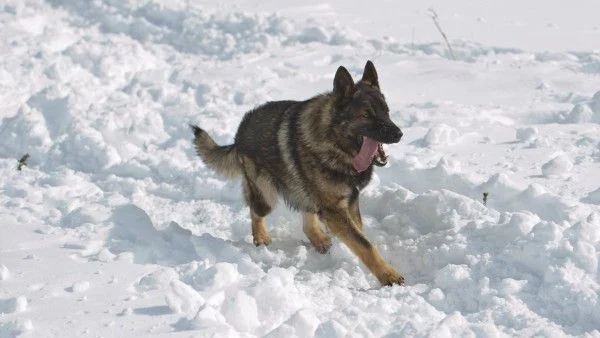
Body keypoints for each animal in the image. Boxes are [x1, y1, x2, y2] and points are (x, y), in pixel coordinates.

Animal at [191, 60, 404, 286]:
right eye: (365, 115)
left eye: (386, 111)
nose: (399, 134)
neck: (334, 142)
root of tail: (239, 133)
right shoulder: (334, 210)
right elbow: (365, 244)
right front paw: (388, 275)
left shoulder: (349, 202)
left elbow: (359, 234)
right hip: (267, 196)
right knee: (255, 211)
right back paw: (260, 238)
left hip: (303, 191)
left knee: (307, 221)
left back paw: (320, 241)